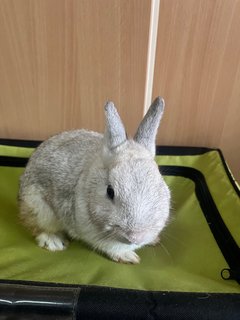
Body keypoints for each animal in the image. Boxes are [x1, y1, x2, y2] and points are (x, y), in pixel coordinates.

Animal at [18, 96, 171, 264]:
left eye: (158, 187)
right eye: (110, 191)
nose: (135, 237)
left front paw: (154, 240)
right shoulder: (92, 233)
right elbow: (111, 247)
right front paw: (128, 257)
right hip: (39, 209)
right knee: (36, 227)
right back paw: (54, 242)